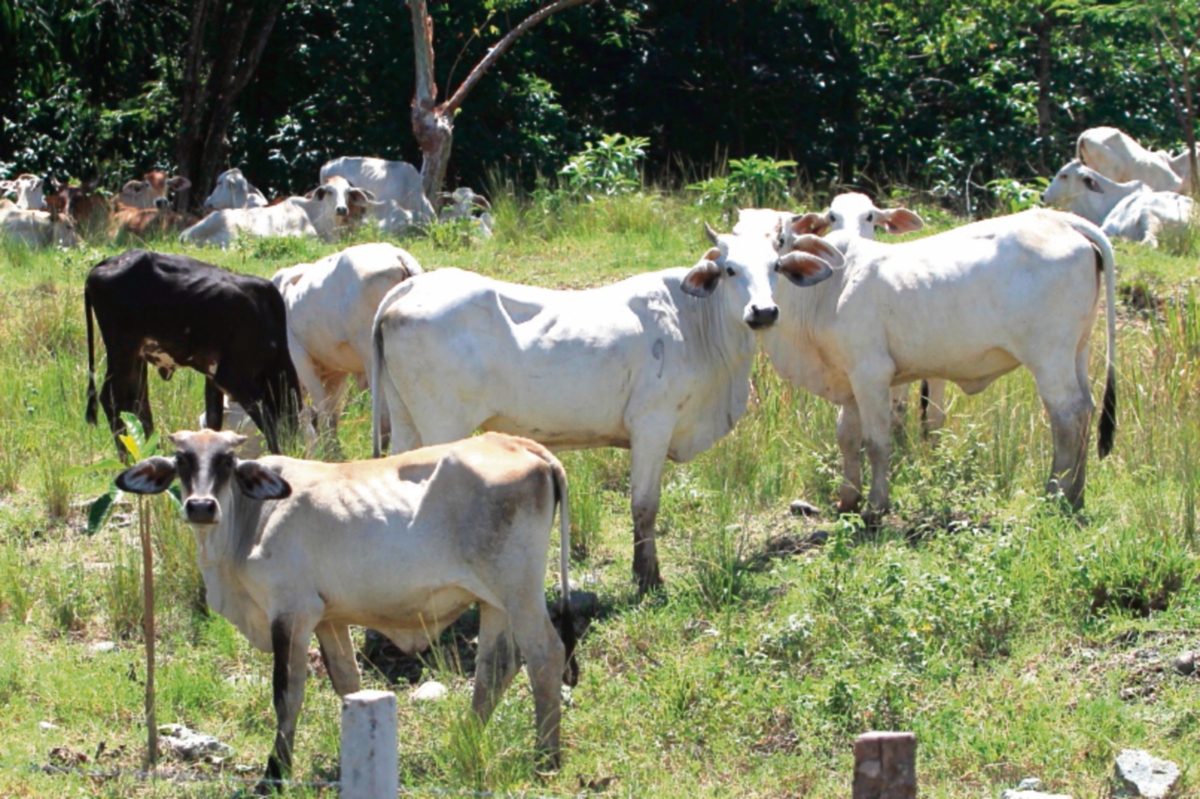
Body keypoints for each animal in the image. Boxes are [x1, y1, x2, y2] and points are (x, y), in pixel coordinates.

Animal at [85, 251, 300, 458]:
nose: (294, 444)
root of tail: (109, 261)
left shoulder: (213, 379)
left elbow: (214, 420)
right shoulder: (232, 378)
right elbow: (267, 423)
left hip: (136, 357)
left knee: (138, 402)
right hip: (122, 350)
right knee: (111, 398)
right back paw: (127, 458)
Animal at [117, 427, 580, 782]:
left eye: (228, 461)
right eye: (181, 460)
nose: (200, 506)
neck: (248, 524)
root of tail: (517, 442)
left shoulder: (292, 612)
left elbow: (286, 692)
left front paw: (275, 774)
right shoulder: (328, 620)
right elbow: (348, 684)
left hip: (519, 592)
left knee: (545, 655)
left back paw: (546, 758)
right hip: (493, 601)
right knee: (496, 669)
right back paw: (467, 739)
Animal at [274, 241, 424, 441]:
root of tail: (397, 256)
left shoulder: (300, 360)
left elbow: (321, 411)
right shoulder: (338, 373)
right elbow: (331, 414)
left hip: (372, 360)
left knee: (385, 421)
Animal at [369, 225, 840, 590]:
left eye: (775, 267)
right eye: (729, 269)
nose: (763, 311)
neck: (697, 324)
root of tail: (411, 286)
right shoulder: (652, 423)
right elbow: (645, 505)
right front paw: (647, 578)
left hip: (407, 421)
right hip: (442, 423)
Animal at [744, 206, 1118, 511]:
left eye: (781, 240)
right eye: (733, 261)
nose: (761, 311)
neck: (826, 289)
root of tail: (1063, 221)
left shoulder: (871, 373)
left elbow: (876, 441)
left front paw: (875, 506)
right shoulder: (848, 380)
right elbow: (847, 438)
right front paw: (848, 500)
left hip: (1049, 356)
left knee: (1067, 416)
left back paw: (1055, 493)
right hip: (1078, 350)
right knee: (1086, 410)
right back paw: (1076, 494)